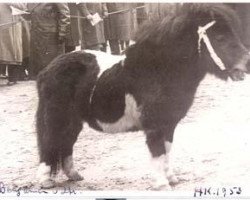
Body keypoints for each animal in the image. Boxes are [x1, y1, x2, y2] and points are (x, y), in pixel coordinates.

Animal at [35, 4, 250, 189]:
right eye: (220, 38)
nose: (247, 63)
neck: (159, 70)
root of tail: (47, 69)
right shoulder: (154, 126)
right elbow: (157, 153)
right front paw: (162, 184)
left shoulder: (169, 124)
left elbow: (167, 151)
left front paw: (171, 178)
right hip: (56, 118)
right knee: (50, 142)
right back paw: (46, 181)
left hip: (73, 121)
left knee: (66, 143)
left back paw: (74, 175)